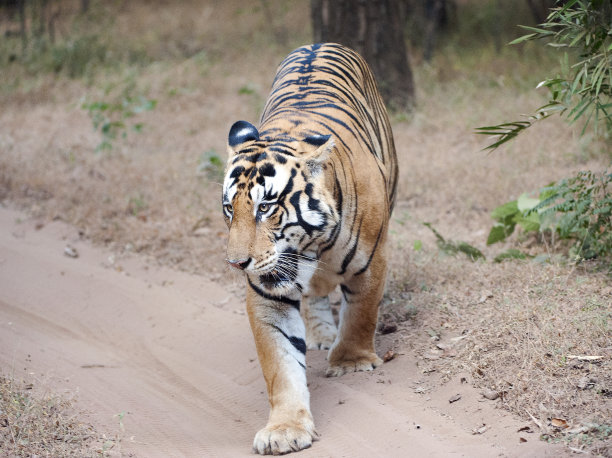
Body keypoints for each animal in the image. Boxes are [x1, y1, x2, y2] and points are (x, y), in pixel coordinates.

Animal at [222, 43, 400, 454]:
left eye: (264, 208)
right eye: (230, 209)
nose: (238, 263)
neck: (310, 241)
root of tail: (320, 43)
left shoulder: (372, 260)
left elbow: (361, 312)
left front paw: (351, 362)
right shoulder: (268, 290)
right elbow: (280, 363)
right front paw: (285, 429)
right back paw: (320, 335)